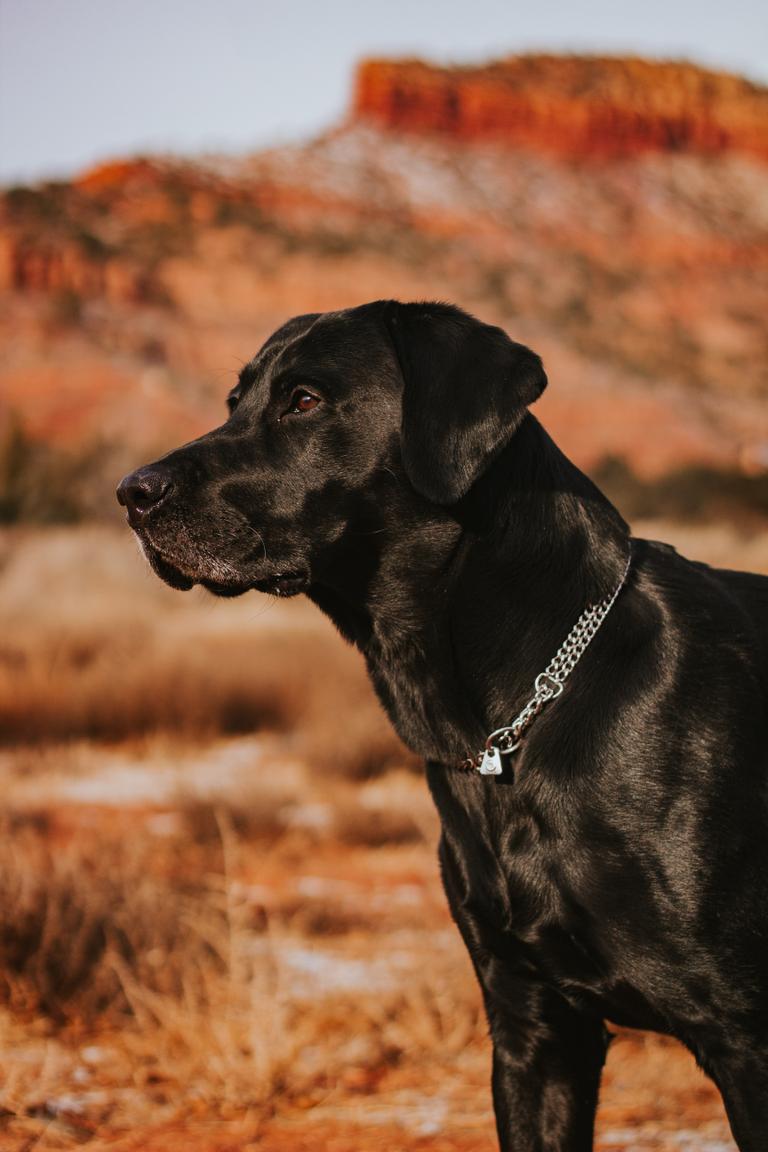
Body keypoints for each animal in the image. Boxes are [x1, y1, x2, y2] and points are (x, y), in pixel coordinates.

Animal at [118, 304, 768, 1152]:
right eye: (235, 401)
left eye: (303, 400)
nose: (131, 493)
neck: (514, 717)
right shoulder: (533, 1028)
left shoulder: (745, 1035)